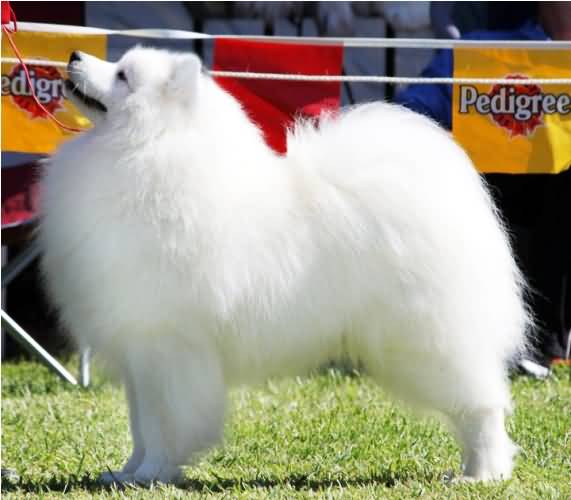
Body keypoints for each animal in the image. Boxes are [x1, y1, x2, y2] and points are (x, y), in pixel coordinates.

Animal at [39, 47, 532, 484]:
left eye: (123, 75)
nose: (74, 56)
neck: (145, 151)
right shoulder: (138, 353)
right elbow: (140, 424)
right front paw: (126, 473)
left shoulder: (165, 344)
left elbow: (162, 424)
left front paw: (153, 474)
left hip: (429, 342)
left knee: (482, 408)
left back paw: (482, 474)